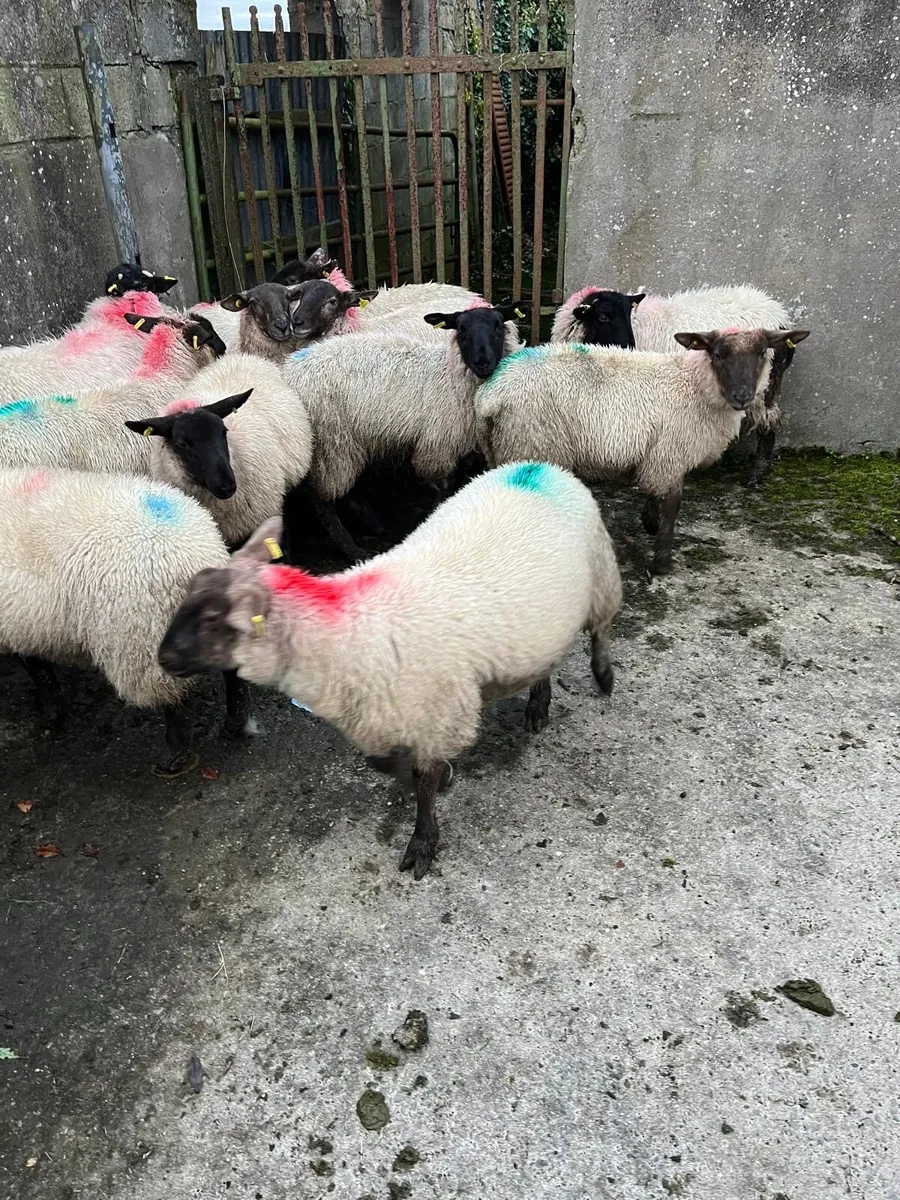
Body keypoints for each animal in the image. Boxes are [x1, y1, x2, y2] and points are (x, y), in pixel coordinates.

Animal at [0, 467, 253, 776]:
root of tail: (202, 553)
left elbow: (36, 670)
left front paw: (49, 718)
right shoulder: (21, 624)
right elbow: (38, 669)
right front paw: (53, 714)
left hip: (142, 633)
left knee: (174, 696)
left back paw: (174, 758)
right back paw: (235, 724)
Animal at [158, 460, 622, 877]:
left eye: (213, 617)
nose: (162, 659)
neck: (338, 631)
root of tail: (539, 466)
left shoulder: (437, 713)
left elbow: (423, 778)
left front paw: (423, 841)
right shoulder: (378, 714)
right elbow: (382, 764)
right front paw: (438, 780)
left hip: (602, 576)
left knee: (601, 631)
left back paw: (602, 676)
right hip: (541, 626)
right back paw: (538, 703)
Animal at [280, 302, 524, 561]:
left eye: (498, 326)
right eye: (461, 329)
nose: (482, 363)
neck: (450, 376)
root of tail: (288, 372)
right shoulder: (438, 444)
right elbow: (444, 487)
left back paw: (369, 522)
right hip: (333, 440)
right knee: (323, 500)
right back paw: (350, 548)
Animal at [477, 328, 810, 575]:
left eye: (761, 353)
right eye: (717, 354)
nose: (742, 396)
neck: (693, 385)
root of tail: (491, 395)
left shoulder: (657, 451)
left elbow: (652, 492)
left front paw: (650, 523)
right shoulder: (671, 453)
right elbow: (673, 503)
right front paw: (662, 561)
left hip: (502, 447)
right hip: (530, 441)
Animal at [552, 284, 793, 484]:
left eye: (628, 315)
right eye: (602, 316)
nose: (629, 346)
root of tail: (780, 317)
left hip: (763, 387)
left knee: (768, 424)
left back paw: (756, 476)